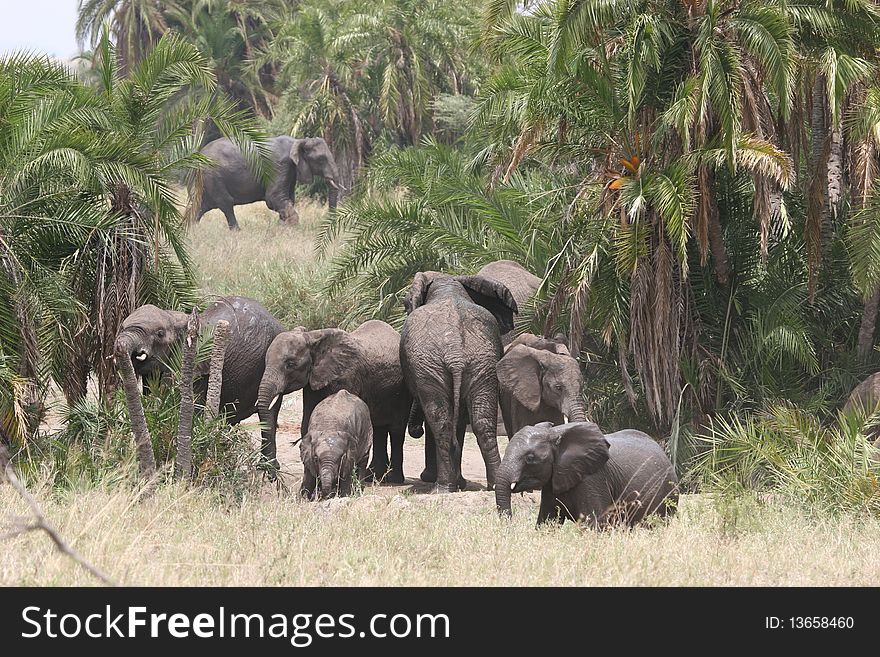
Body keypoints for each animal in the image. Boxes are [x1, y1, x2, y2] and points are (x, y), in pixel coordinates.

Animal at [194, 135, 342, 229]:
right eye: (321, 159)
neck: (297, 141)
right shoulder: (279, 165)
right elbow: (273, 198)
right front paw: (289, 229)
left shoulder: (291, 171)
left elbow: (288, 199)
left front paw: (282, 227)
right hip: (212, 175)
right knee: (226, 203)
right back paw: (237, 231)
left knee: (200, 206)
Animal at [256, 320, 410, 484]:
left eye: (290, 364)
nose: (272, 477)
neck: (313, 337)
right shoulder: (313, 382)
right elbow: (307, 423)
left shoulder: (347, 376)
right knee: (378, 428)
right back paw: (372, 477)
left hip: (403, 390)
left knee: (396, 429)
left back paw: (393, 479)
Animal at [398, 270, 516, 490]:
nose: (416, 430)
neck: (446, 283)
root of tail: (456, 356)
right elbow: (460, 420)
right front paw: (460, 482)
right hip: (482, 364)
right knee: (482, 422)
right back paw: (493, 485)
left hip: (431, 368)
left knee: (441, 423)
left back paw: (442, 487)